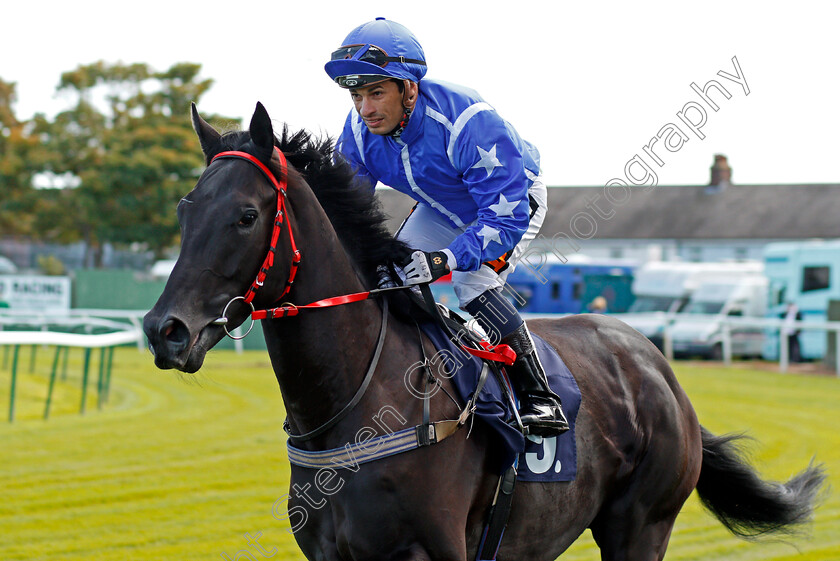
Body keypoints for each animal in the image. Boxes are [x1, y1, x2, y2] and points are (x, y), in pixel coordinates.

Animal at [144, 101, 828, 560]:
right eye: (183, 209)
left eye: (246, 215)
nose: (163, 330)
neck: (357, 402)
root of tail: (655, 363)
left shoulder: (433, 551)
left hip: (642, 527)